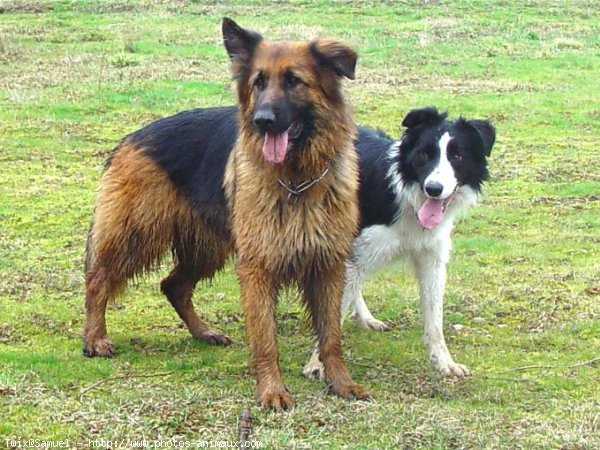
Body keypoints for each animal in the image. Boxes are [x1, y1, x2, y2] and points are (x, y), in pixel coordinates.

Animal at [82, 18, 368, 412]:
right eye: (258, 82)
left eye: (294, 81)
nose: (263, 121)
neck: (297, 180)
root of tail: (129, 138)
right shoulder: (257, 266)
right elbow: (265, 338)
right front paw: (272, 390)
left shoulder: (327, 264)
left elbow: (331, 336)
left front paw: (341, 383)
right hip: (138, 234)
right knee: (98, 279)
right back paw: (94, 338)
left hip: (206, 248)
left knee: (173, 285)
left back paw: (203, 332)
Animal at [304, 107, 496, 378]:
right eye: (425, 154)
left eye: (457, 156)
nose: (434, 189)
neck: (407, 198)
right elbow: (334, 310)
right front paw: (317, 364)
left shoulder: (431, 258)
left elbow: (434, 318)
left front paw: (444, 362)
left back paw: (366, 318)